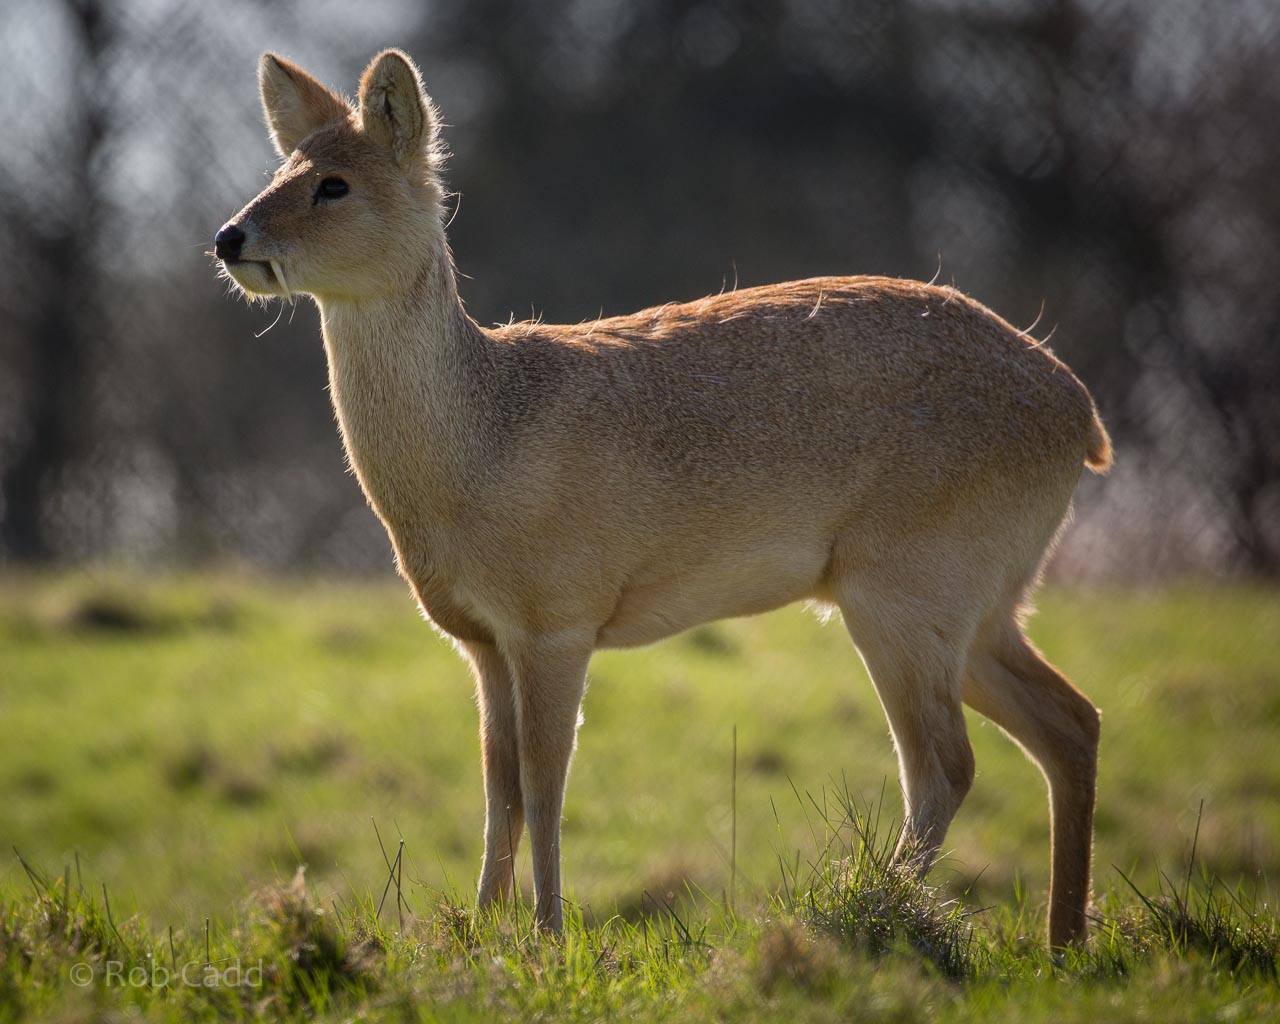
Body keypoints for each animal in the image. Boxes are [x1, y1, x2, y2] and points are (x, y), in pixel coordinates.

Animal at [214, 48, 1112, 948]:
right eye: (278, 169)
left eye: (334, 184)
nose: (229, 237)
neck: (481, 447)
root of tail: (1083, 416)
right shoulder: (480, 638)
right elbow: (498, 793)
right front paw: (476, 933)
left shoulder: (558, 614)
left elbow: (544, 785)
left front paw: (548, 937)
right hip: (982, 597)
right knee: (1071, 721)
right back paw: (1062, 937)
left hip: (907, 581)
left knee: (946, 764)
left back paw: (871, 913)